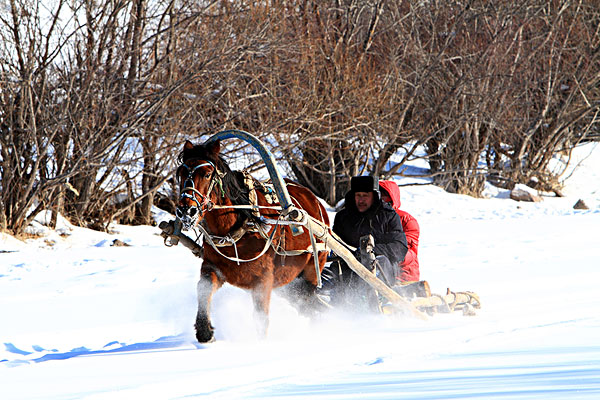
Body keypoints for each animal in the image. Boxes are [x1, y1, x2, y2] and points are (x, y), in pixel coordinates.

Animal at [176, 139, 330, 342]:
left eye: (207, 174)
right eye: (180, 173)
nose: (186, 211)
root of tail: (316, 201)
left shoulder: (263, 280)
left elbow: (261, 317)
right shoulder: (213, 267)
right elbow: (203, 288)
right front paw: (205, 331)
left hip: (312, 270)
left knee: (308, 302)